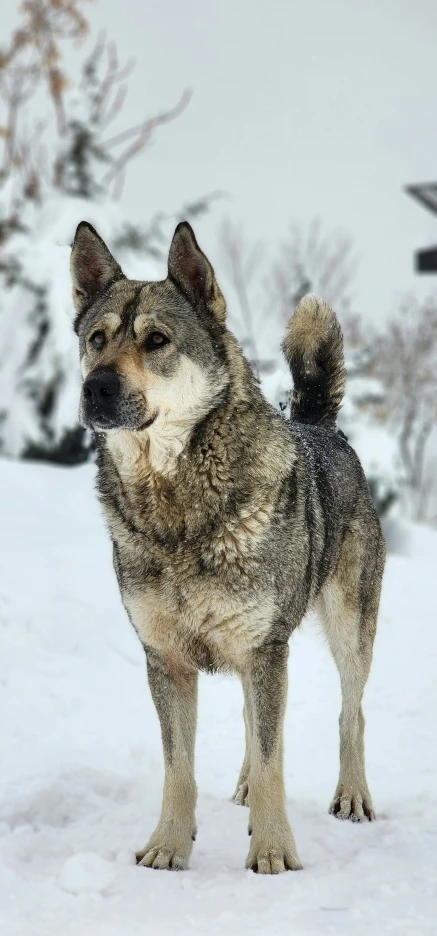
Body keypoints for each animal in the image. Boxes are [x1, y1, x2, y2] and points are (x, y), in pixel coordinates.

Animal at [69, 219, 384, 872]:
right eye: (96, 338)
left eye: (157, 340)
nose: (95, 388)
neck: (176, 508)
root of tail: (321, 426)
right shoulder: (165, 659)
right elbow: (179, 768)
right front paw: (168, 846)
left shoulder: (265, 649)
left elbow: (273, 762)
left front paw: (273, 852)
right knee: (251, 720)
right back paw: (240, 789)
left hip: (348, 630)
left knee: (351, 713)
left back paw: (351, 796)